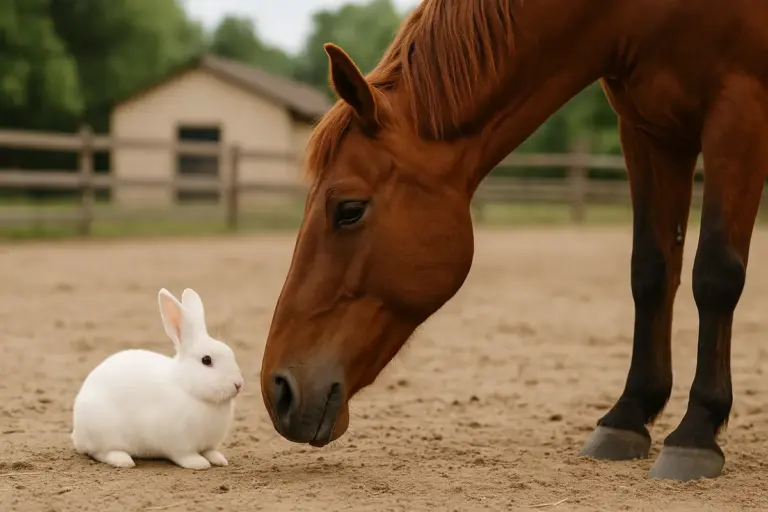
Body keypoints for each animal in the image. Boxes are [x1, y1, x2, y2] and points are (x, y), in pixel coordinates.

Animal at [70, 287, 244, 470]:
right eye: (206, 360)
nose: (238, 384)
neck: (188, 389)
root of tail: (78, 433)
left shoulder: (208, 444)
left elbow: (210, 451)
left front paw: (219, 460)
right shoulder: (178, 443)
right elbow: (185, 455)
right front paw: (199, 463)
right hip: (105, 431)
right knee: (101, 452)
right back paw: (123, 460)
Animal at [260, 0, 768, 481]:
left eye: (348, 210)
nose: (277, 389)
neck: (638, 13)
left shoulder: (740, 110)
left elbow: (715, 274)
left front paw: (696, 431)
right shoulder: (648, 130)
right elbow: (651, 272)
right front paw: (627, 416)